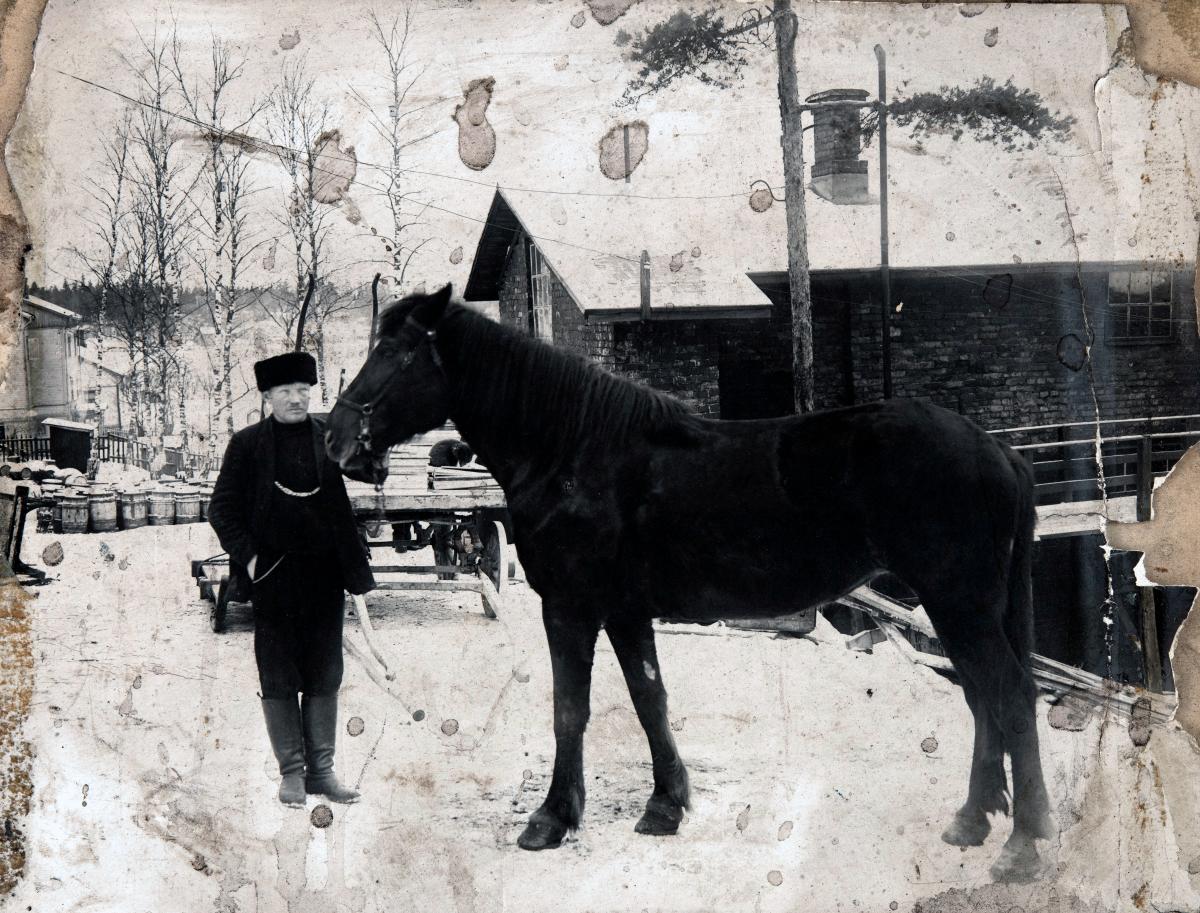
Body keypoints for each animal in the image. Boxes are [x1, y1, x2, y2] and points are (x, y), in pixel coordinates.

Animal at [326, 286, 1051, 883]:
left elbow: (570, 709)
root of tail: (997, 449)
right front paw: (666, 804)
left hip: (959, 604)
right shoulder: (623, 610)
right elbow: (650, 698)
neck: (572, 448)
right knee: (983, 699)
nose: (336, 438)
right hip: (959, 607)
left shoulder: (571, 606)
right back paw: (972, 820)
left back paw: (1024, 847)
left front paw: (552, 818)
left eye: (394, 351)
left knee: (1011, 697)